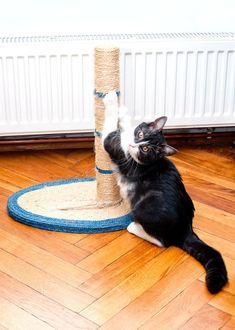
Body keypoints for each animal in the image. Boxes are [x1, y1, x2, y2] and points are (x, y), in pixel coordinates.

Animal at [102, 91, 228, 294]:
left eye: (145, 148)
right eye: (140, 134)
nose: (133, 144)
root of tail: (186, 230)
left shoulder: (117, 150)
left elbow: (109, 133)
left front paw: (112, 101)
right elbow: (126, 126)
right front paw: (124, 111)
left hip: (146, 208)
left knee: (163, 242)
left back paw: (133, 227)